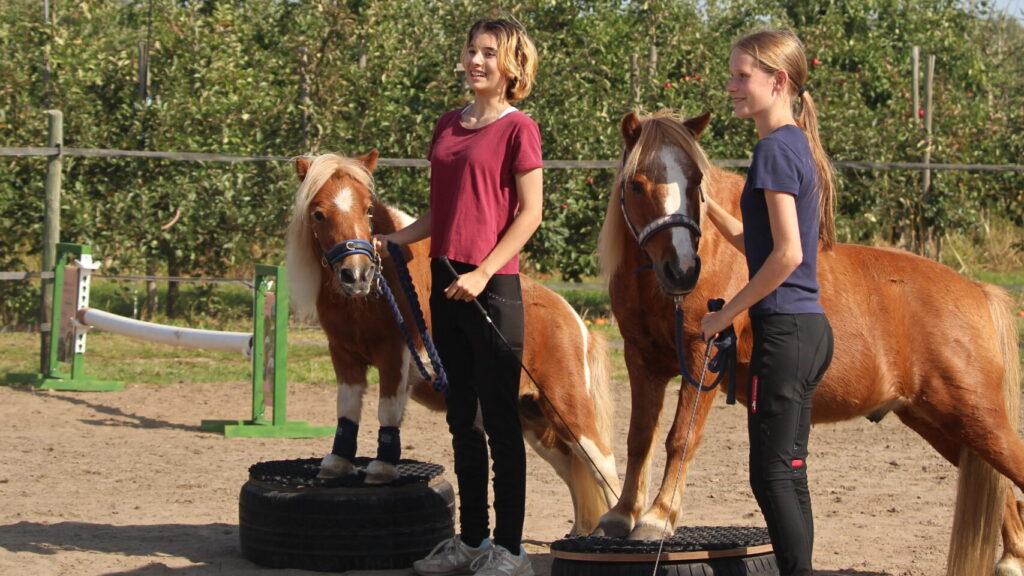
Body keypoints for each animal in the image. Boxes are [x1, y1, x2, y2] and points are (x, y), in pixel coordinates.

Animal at [284, 150, 621, 534]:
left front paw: (381, 469)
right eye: (318, 213)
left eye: (368, 209)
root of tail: (575, 321)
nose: (357, 275)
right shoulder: (343, 355)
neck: (372, 297)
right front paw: (336, 463)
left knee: (603, 465)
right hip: (534, 419)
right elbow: (346, 409)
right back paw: (579, 531)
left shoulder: (394, 357)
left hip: (567, 409)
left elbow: (387, 410)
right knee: (573, 470)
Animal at [595, 109, 1024, 576]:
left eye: (695, 182)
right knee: (1003, 496)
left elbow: (680, 438)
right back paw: (1011, 558)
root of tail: (977, 291)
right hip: (942, 423)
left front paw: (657, 517)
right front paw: (622, 514)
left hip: (975, 418)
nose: (682, 270)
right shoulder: (642, 360)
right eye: (637, 184)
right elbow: (639, 437)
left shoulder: (700, 355)